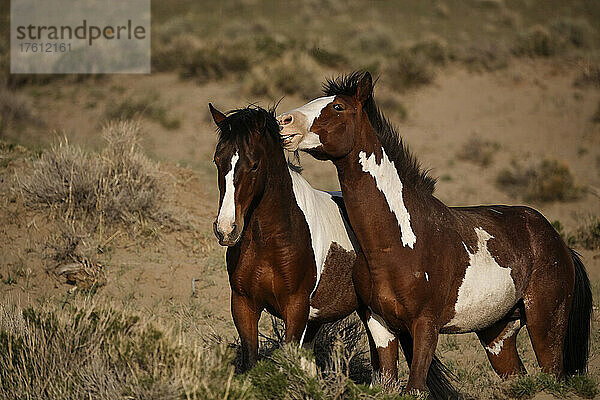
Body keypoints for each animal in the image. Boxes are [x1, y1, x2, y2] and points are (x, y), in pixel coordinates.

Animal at [207, 103, 454, 396]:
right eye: (217, 161)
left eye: (254, 164)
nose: (226, 229)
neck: (269, 240)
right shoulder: (243, 304)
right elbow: (251, 361)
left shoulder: (295, 307)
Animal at [278, 71, 596, 394]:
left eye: (338, 107)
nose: (285, 121)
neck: (398, 243)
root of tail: (560, 244)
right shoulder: (379, 325)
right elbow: (388, 383)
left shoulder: (425, 325)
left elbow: (416, 387)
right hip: (498, 333)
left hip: (545, 325)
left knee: (552, 374)